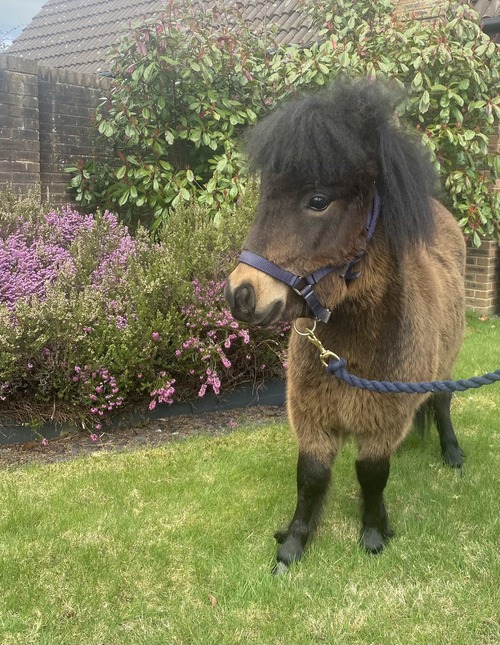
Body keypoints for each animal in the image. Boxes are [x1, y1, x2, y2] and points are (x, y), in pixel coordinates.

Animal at [224, 79, 466, 573]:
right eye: (265, 197)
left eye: (318, 201)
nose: (240, 295)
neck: (350, 348)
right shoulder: (312, 417)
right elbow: (311, 477)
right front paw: (293, 544)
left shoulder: (381, 422)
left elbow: (372, 474)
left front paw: (373, 532)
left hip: (447, 364)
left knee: (442, 402)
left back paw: (451, 452)